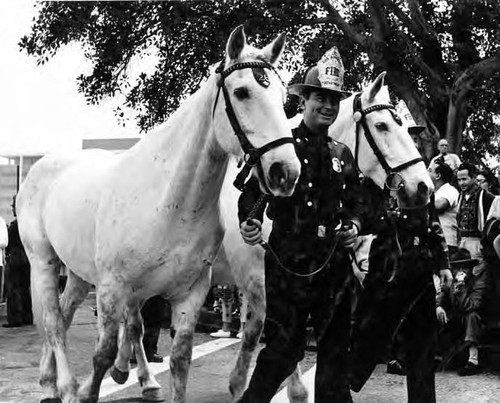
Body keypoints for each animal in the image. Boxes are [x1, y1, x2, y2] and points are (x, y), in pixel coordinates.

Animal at [16, 26, 300, 403]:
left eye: (283, 97)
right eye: (241, 92)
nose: (286, 171)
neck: (170, 202)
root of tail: (42, 166)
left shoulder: (190, 294)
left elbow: (180, 360)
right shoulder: (113, 288)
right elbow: (102, 354)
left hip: (78, 272)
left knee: (66, 313)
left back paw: (63, 380)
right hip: (44, 261)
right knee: (53, 320)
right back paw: (63, 385)